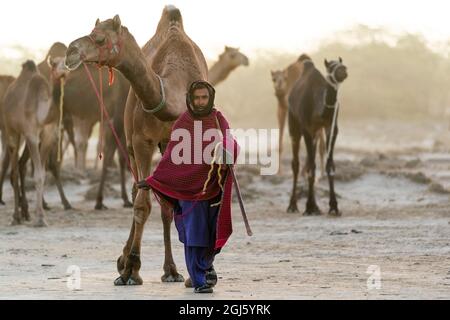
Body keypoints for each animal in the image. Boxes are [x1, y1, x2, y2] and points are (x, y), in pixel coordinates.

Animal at [2, 58, 69, 228]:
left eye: (66, 60)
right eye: (54, 64)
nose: (65, 69)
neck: (43, 115)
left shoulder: (48, 137)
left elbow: (42, 174)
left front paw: (40, 216)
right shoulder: (31, 134)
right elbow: (38, 175)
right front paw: (40, 219)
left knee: (20, 165)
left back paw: (25, 213)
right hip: (12, 130)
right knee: (13, 169)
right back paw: (15, 217)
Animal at [66, 5, 209, 284]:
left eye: (100, 38)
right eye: (92, 31)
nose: (70, 52)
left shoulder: (192, 145)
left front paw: (195, 273)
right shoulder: (142, 141)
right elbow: (142, 203)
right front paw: (130, 269)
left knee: (164, 201)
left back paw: (170, 270)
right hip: (133, 141)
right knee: (137, 191)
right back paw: (125, 261)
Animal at [288, 58, 348, 216]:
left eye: (341, 63)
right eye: (330, 66)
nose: (343, 70)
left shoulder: (331, 128)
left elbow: (329, 164)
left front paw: (333, 206)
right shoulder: (307, 129)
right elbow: (311, 166)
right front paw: (309, 207)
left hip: (316, 133)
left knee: (310, 160)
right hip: (294, 124)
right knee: (296, 163)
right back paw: (292, 205)